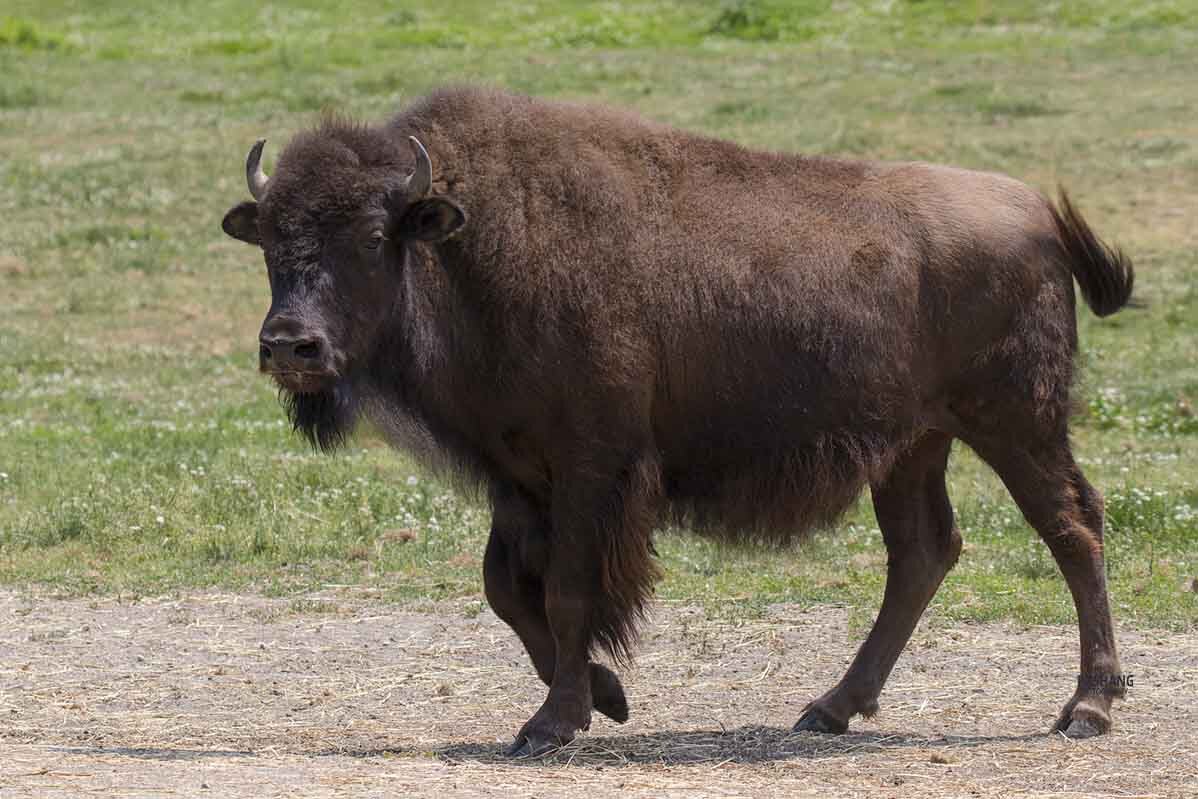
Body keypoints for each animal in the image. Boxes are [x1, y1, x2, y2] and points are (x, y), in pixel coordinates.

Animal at [222, 86, 1130, 757]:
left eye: (375, 232)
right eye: (270, 238)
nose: (290, 344)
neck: (465, 241)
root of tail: (1039, 212)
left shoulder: (592, 469)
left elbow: (566, 592)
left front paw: (552, 723)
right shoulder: (517, 475)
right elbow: (505, 589)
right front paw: (606, 694)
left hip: (1016, 423)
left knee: (1071, 527)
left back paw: (1088, 708)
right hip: (914, 445)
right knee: (923, 550)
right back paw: (829, 707)